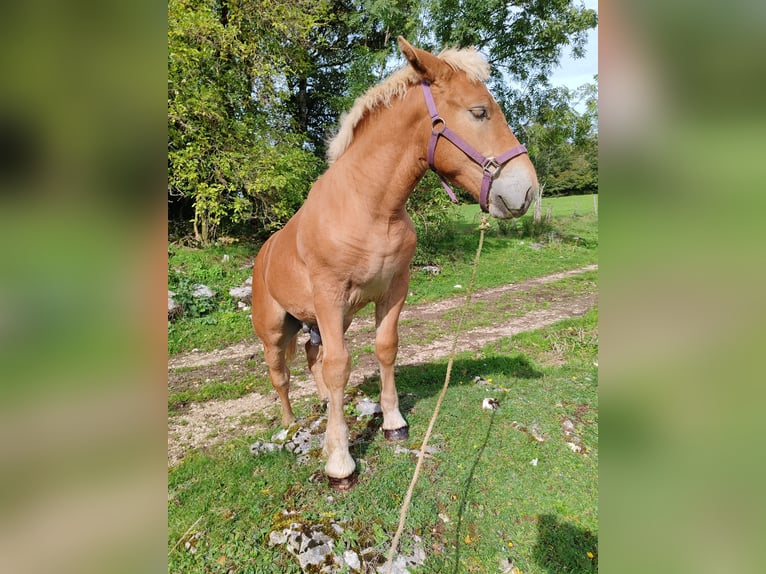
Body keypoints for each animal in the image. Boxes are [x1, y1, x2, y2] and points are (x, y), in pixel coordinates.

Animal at [252, 37, 540, 490]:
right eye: (479, 111)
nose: (526, 191)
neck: (369, 208)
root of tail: (263, 255)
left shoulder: (394, 288)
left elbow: (385, 348)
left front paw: (393, 423)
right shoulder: (330, 295)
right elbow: (339, 365)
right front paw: (340, 461)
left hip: (322, 320)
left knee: (314, 356)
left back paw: (322, 406)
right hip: (275, 329)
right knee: (280, 374)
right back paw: (288, 425)